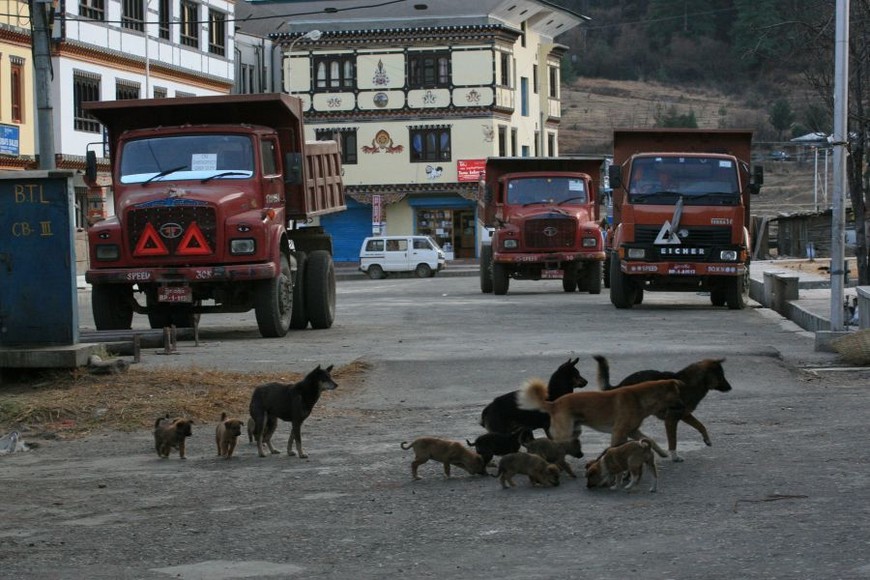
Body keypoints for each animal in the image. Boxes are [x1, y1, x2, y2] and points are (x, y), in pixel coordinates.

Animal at [520, 374, 684, 456]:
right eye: (678, 395)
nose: (684, 407)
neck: (640, 398)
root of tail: (554, 404)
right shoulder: (619, 432)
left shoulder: (632, 431)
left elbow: (651, 440)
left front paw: (663, 453)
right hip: (565, 432)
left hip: (574, 430)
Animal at [596, 354, 732, 462]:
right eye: (721, 376)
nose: (730, 388)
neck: (690, 383)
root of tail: (620, 385)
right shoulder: (671, 419)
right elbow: (673, 440)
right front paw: (675, 457)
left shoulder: (685, 415)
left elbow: (701, 425)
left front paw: (707, 440)